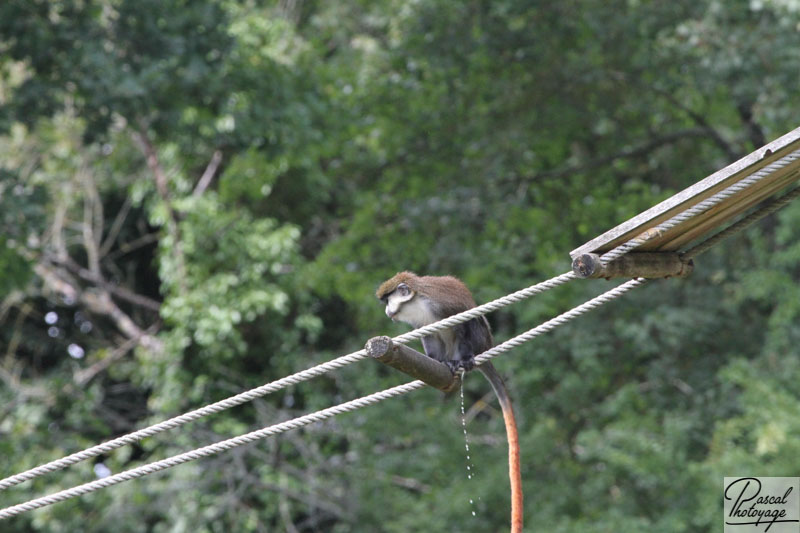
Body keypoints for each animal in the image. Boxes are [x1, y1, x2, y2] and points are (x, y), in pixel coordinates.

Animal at [376, 272, 524, 528]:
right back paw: (445, 363)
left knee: (472, 325)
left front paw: (463, 358)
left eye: (387, 300)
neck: (416, 302)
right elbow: (429, 334)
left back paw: (461, 360)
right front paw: (436, 361)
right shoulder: (422, 323)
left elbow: (463, 323)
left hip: (480, 339)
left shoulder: (443, 304)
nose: (386, 311)